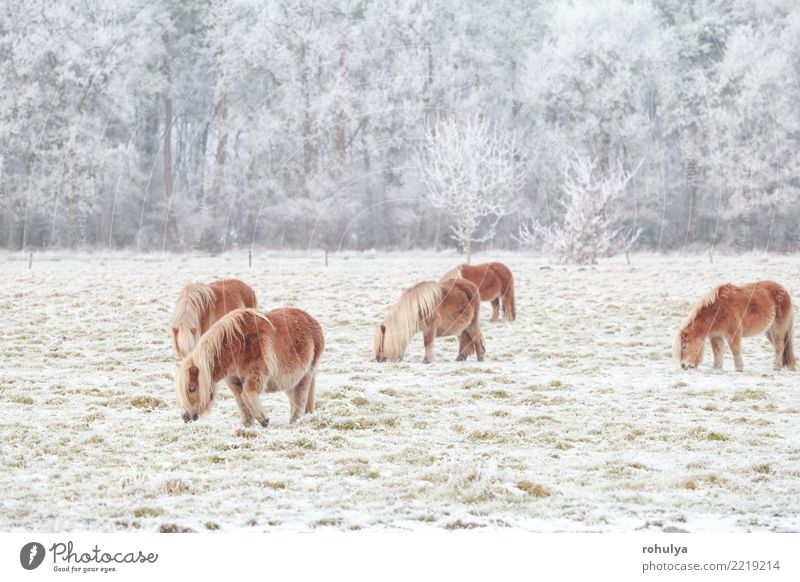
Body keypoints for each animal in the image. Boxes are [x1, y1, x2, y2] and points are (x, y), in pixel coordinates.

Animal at [176, 308, 324, 426]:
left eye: (191, 389)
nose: (185, 417)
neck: (238, 345)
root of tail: (313, 321)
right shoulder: (234, 381)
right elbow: (241, 401)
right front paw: (247, 424)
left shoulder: (256, 374)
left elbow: (247, 394)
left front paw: (263, 419)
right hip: (290, 381)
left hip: (305, 375)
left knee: (300, 400)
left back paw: (294, 422)